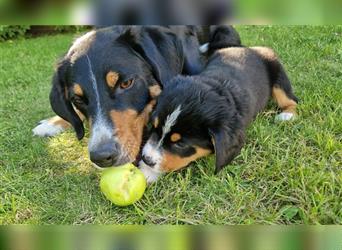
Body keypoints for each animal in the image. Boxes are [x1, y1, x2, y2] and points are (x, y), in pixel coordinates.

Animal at [138, 46, 298, 183]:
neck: (215, 86)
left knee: (291, 100)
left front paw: (148, 172)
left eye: (181, 144)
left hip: (278, 75)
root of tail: (250, 48)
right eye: (154, 126)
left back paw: (287, 115)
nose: (146, 159)